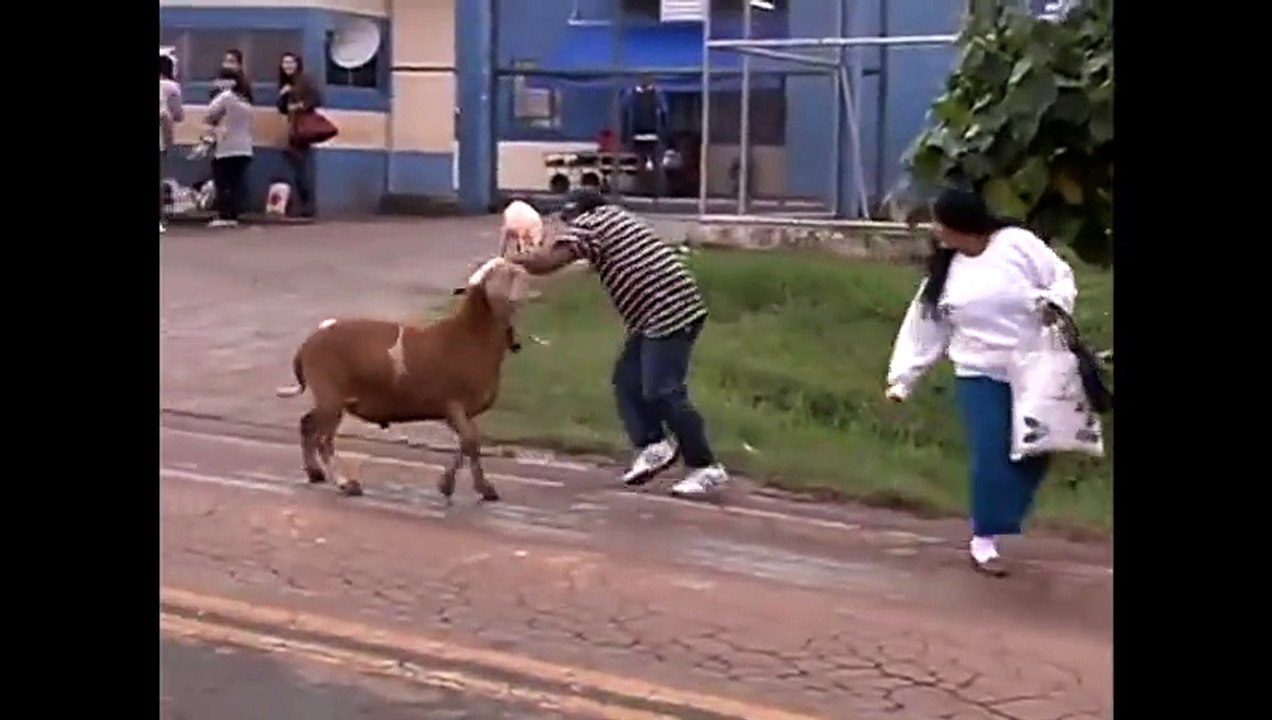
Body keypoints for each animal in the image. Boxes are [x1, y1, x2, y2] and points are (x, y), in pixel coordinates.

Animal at [275, 258, 532, 502]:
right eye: (511, 273)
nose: (530, 281)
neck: (470, 335)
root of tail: (307, 343)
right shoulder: (453, 404)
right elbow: (469, 442)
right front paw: (458, 486)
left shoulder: (459, 412)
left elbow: (469, 442)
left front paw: (465, 486)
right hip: (330, 393)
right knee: (322, 438)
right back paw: (346, 483)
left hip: (332, 398)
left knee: (307, 425)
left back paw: (315, 473)